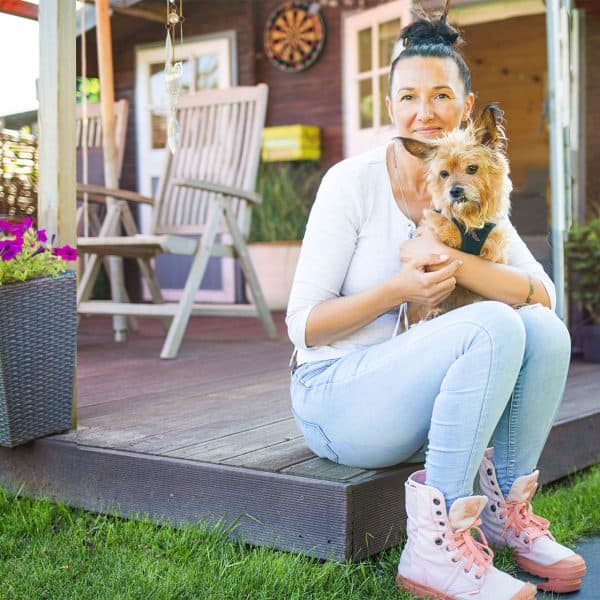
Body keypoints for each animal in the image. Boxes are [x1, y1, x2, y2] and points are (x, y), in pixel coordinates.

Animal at [398, 104, 510, 328]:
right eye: (443, 174)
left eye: (472, 168)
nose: (455, 191)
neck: (469, 222)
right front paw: (434, 311)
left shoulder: (494, 257)